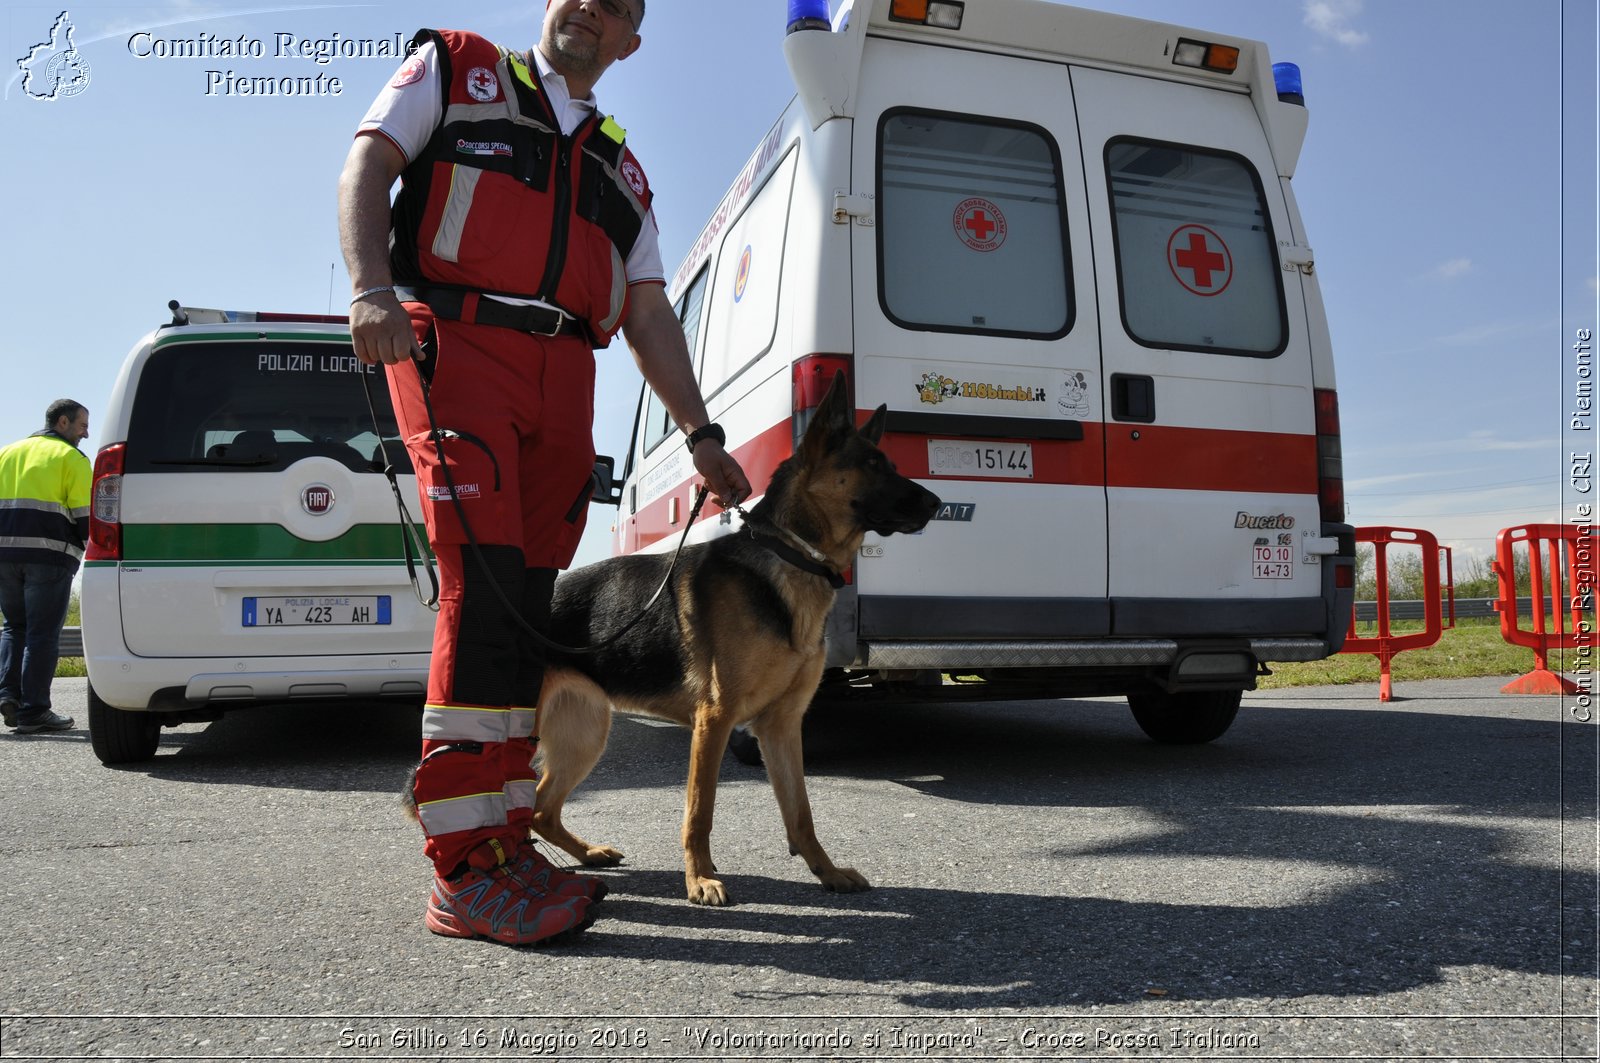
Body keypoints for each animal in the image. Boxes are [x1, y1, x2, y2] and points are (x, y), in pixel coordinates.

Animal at [531, 373, 940, 902]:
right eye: (872, 465)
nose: (937, 504)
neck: (793, 555)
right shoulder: (715, 720)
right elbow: (699, 812)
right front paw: (700, 878)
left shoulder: (781, 726)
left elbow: (801, 812)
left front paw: (826, 871)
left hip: (584, 735)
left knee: (541, 808)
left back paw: (585, 854)